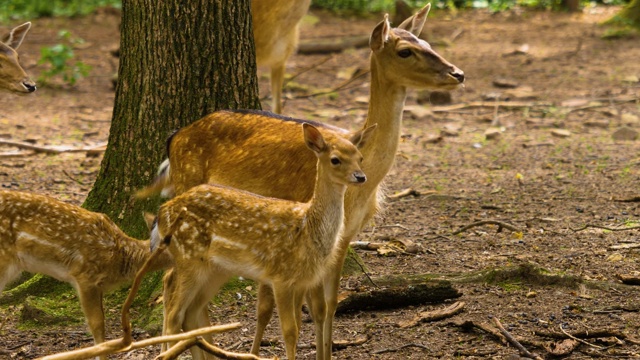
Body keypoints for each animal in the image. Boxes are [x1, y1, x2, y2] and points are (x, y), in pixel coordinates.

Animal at [150, 123, 376, 360]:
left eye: (360, 157)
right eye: (335, 159)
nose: (361, 177)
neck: (308, 229)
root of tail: (162, 212)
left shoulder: (302, 281)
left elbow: (300, 324)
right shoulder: (280, 277)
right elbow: (289, 331)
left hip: (215, 269)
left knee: (189, 312)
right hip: (188, 258)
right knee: (175, 312)